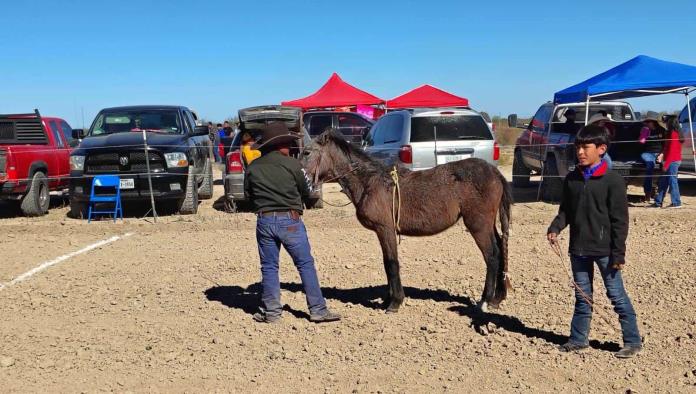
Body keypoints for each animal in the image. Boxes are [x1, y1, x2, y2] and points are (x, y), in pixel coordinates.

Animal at [304, 131, 512, 312]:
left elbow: (391, 263)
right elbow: (386, 263)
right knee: (501, 249)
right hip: (488, 225)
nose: (303, 180)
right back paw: (497, 298)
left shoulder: (385, 229)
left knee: (492, 256)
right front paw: (388, 299)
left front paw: (395, 302)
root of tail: (494, 172)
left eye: (306, 152)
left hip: (478, 225)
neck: (369, 182)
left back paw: (485, 300)